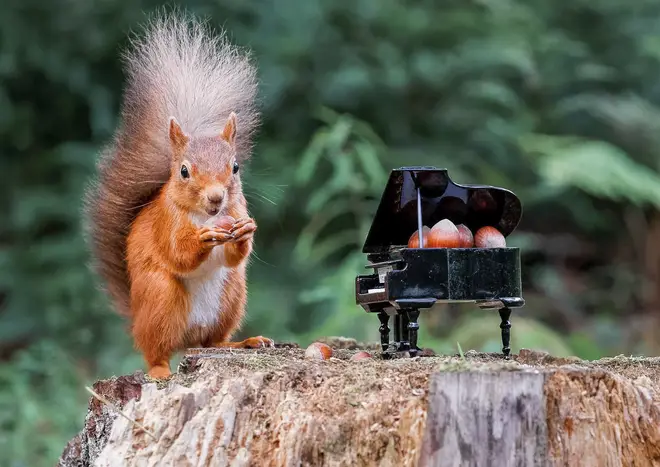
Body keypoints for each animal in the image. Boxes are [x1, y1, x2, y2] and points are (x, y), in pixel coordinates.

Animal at [83, 11, 274, 380]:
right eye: (184, 171)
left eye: (235, 167)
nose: (216, 198)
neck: (205, 215)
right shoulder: (166, 223)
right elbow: (177, 253)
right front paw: (203, 239)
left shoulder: (236, 211)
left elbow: (235, 255)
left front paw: (245, 232)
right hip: (161, 299)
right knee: (155, 350)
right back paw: (160, 370)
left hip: (231, 295)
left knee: (213, 342)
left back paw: (246, 342)